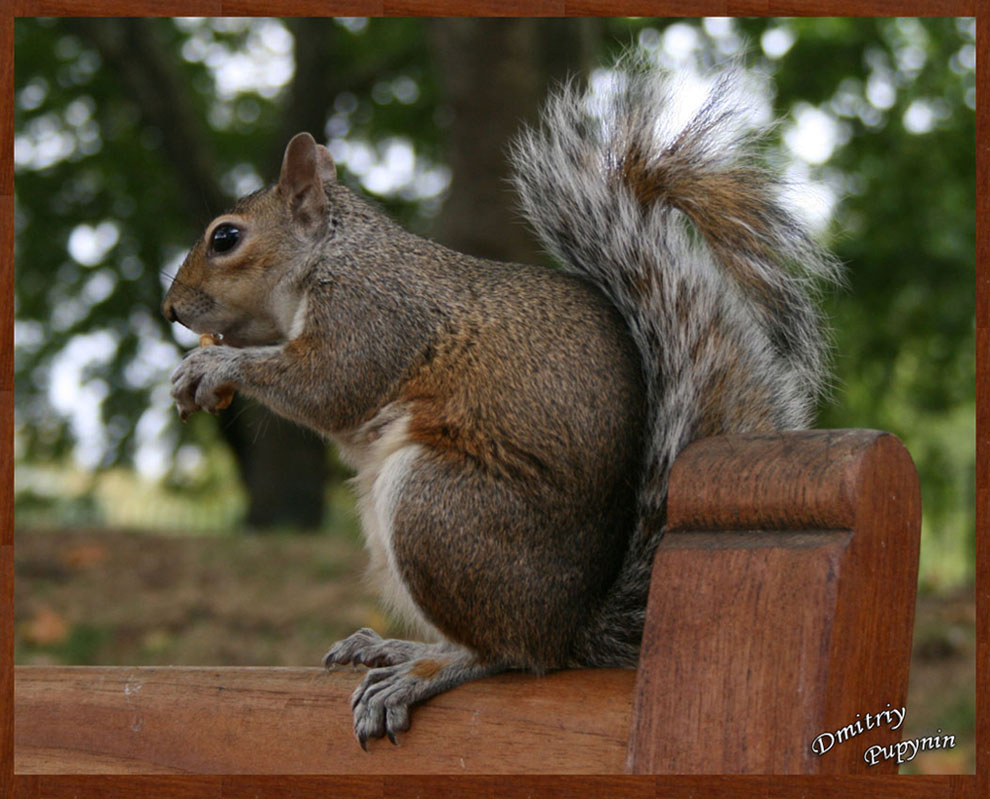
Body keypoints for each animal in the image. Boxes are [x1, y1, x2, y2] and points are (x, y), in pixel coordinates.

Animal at [165, 57, 844, 752]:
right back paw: (397, 647)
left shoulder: (371, 314)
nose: (171, 309)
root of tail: (569, 628)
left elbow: (330, 385)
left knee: (507, 653)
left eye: (226, 238)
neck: (334, 254)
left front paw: (213, 366)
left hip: (436, 507)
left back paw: (421, 671)